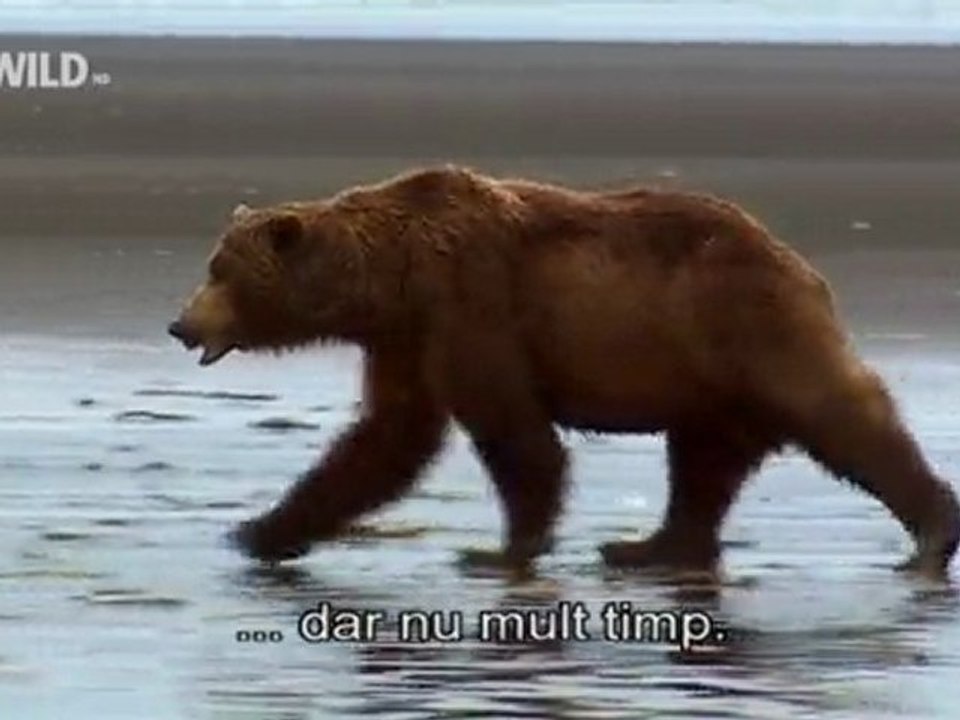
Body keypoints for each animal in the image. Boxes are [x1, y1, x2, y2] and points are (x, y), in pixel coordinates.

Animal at [168, 165, 960, 577]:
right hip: (706, 374)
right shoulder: (404, 339)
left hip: (747, 324)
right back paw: (648, 548)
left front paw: (499, 549)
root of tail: (800, 262)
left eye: (220, 271)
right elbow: (386, 439)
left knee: (839, 413)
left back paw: (932, 530)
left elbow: (515, 435)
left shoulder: (471, 305)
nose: (181, 325)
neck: (392, 279)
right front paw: (260, 529)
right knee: (703, 462)